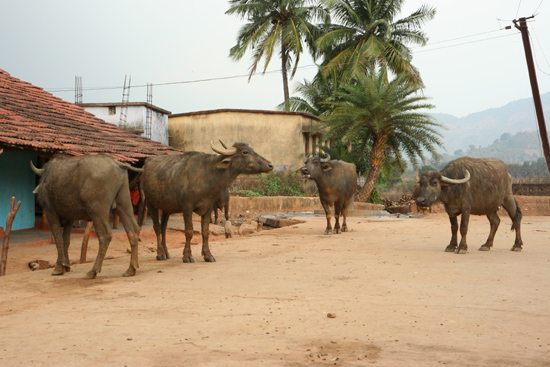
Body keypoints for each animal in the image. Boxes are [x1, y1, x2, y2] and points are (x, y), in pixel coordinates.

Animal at [140, 141, 274, 264]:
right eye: (245, 152)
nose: (271, 165)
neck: (208, 175)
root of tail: (146, 165)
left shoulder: (208, 207)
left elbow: (205, 231)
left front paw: (208, 255)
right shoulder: (187, 207)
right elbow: (189, 231)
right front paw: (187, 256)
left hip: (166, 208)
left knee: (163, 228)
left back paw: (167, 252)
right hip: (151, 204)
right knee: (157, 228)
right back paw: (160, 254)